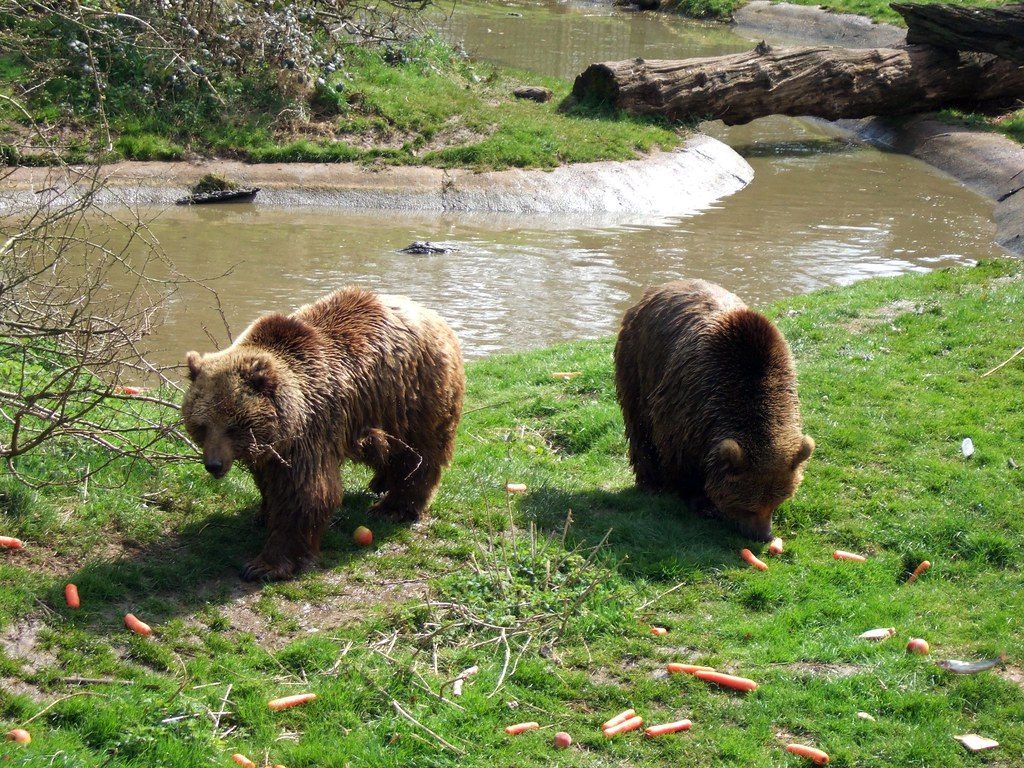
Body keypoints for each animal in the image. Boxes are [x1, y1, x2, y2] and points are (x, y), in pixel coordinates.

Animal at [181, 287, 465, 581]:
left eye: (233, 426)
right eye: (201, 425)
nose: (214, 464)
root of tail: (435, 316)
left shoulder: (309, 432)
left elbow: (305, 495)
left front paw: (264, 564)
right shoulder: (274, 448)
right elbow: (269, 481)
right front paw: (263, 513)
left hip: (414, 396)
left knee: (419, 455)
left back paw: (393, 507)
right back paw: (380, 482)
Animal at [613, 279, 814, 541]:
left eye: (776, 503)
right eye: (748, 507)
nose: (763, 535)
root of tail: (660, 287)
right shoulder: (687, 406)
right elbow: (678, 455)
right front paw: (701, 501)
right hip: (638, 362)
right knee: (639, 426)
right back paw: (650, 483)